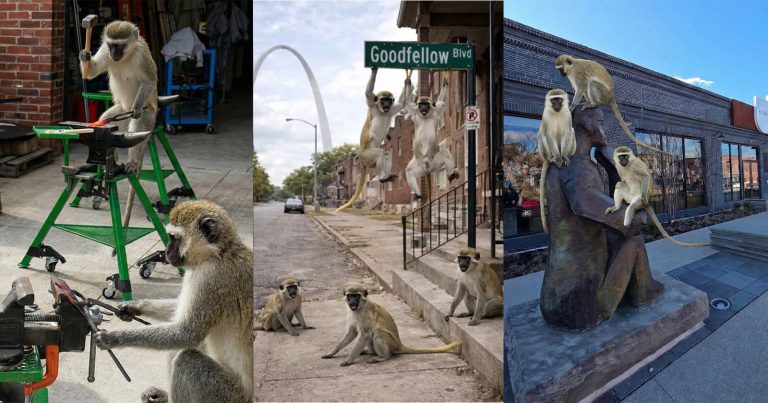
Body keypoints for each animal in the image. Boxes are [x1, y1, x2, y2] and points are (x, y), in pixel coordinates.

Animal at [80, 20, 158, 229]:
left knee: (138, 124)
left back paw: (131, 161)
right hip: (120, 113)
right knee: (108, 117)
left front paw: (137, 108)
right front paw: (85, 56)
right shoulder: (104, 51)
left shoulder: (142, 52)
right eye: (111, 45)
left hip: (148, 115)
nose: (114, 54)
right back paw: (112, 161)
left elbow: (149, 80)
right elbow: (93, 71)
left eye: (120, 45)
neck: (127, 55)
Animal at [95, 200, 253, 403]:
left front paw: (113, 338)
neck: (218, 253)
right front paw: (133, 306)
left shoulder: (211, 278)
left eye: (174, 238)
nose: (166, 251)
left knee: (187, 359)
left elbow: (186, 333)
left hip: (228, 394)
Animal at [321, 284, 462, 366]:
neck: (360, 307)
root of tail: (399, 344)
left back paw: (383, 357)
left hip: (391, 344)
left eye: (357, 296)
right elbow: (352, 332)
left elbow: (365, 334)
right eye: (350, 296)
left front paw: (349, 359)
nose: (352, 301)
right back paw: (370, 352)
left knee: (378, 333)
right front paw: (332, 352)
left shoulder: (365, 314)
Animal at [336, 68, 411, 212]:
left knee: (387, 154)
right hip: (367, 155)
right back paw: (382, 177)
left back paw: (386, 176)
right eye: (383, 99)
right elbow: (368, 93)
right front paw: (374, 70)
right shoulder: (372, 104)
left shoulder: (391, 110)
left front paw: (407, 82)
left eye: (389, 100)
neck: (382, 111)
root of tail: (361, 158)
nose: (387, 104)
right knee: (380, 153)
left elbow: (401, 103)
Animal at [536, 89, 576, 233]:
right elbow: (548, 134)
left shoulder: (568, 115)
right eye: (553, 100)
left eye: (559, 99)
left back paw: (566, 156)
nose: (557, 104)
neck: (558, 113)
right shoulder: (546, 116)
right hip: (545, 153)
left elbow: (566, 133)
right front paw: (559, 158)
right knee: (542, 133)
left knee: (572, 131)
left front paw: (563, 157)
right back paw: (553, 158)